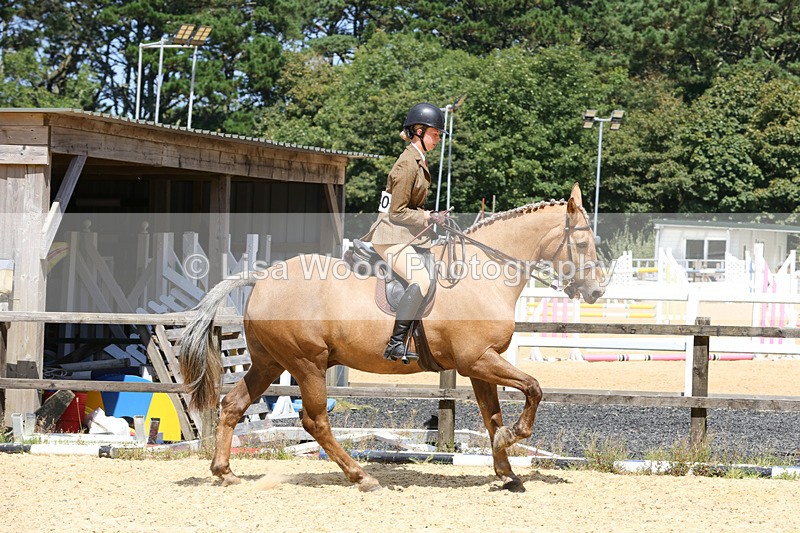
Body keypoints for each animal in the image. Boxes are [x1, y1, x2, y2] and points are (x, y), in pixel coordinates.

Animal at [179, 182, 605, 492]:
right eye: (583, 244)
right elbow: (533, 388)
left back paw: (225, 471)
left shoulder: (479, 365)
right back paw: (362, 477)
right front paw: (512, 440)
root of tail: (263, 279)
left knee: (233, 405)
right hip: (307, 364)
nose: (598, 291)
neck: (483, 273)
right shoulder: (477, 359)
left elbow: (491, 415)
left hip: (270, 362)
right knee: (315, 422)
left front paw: (506, 470)